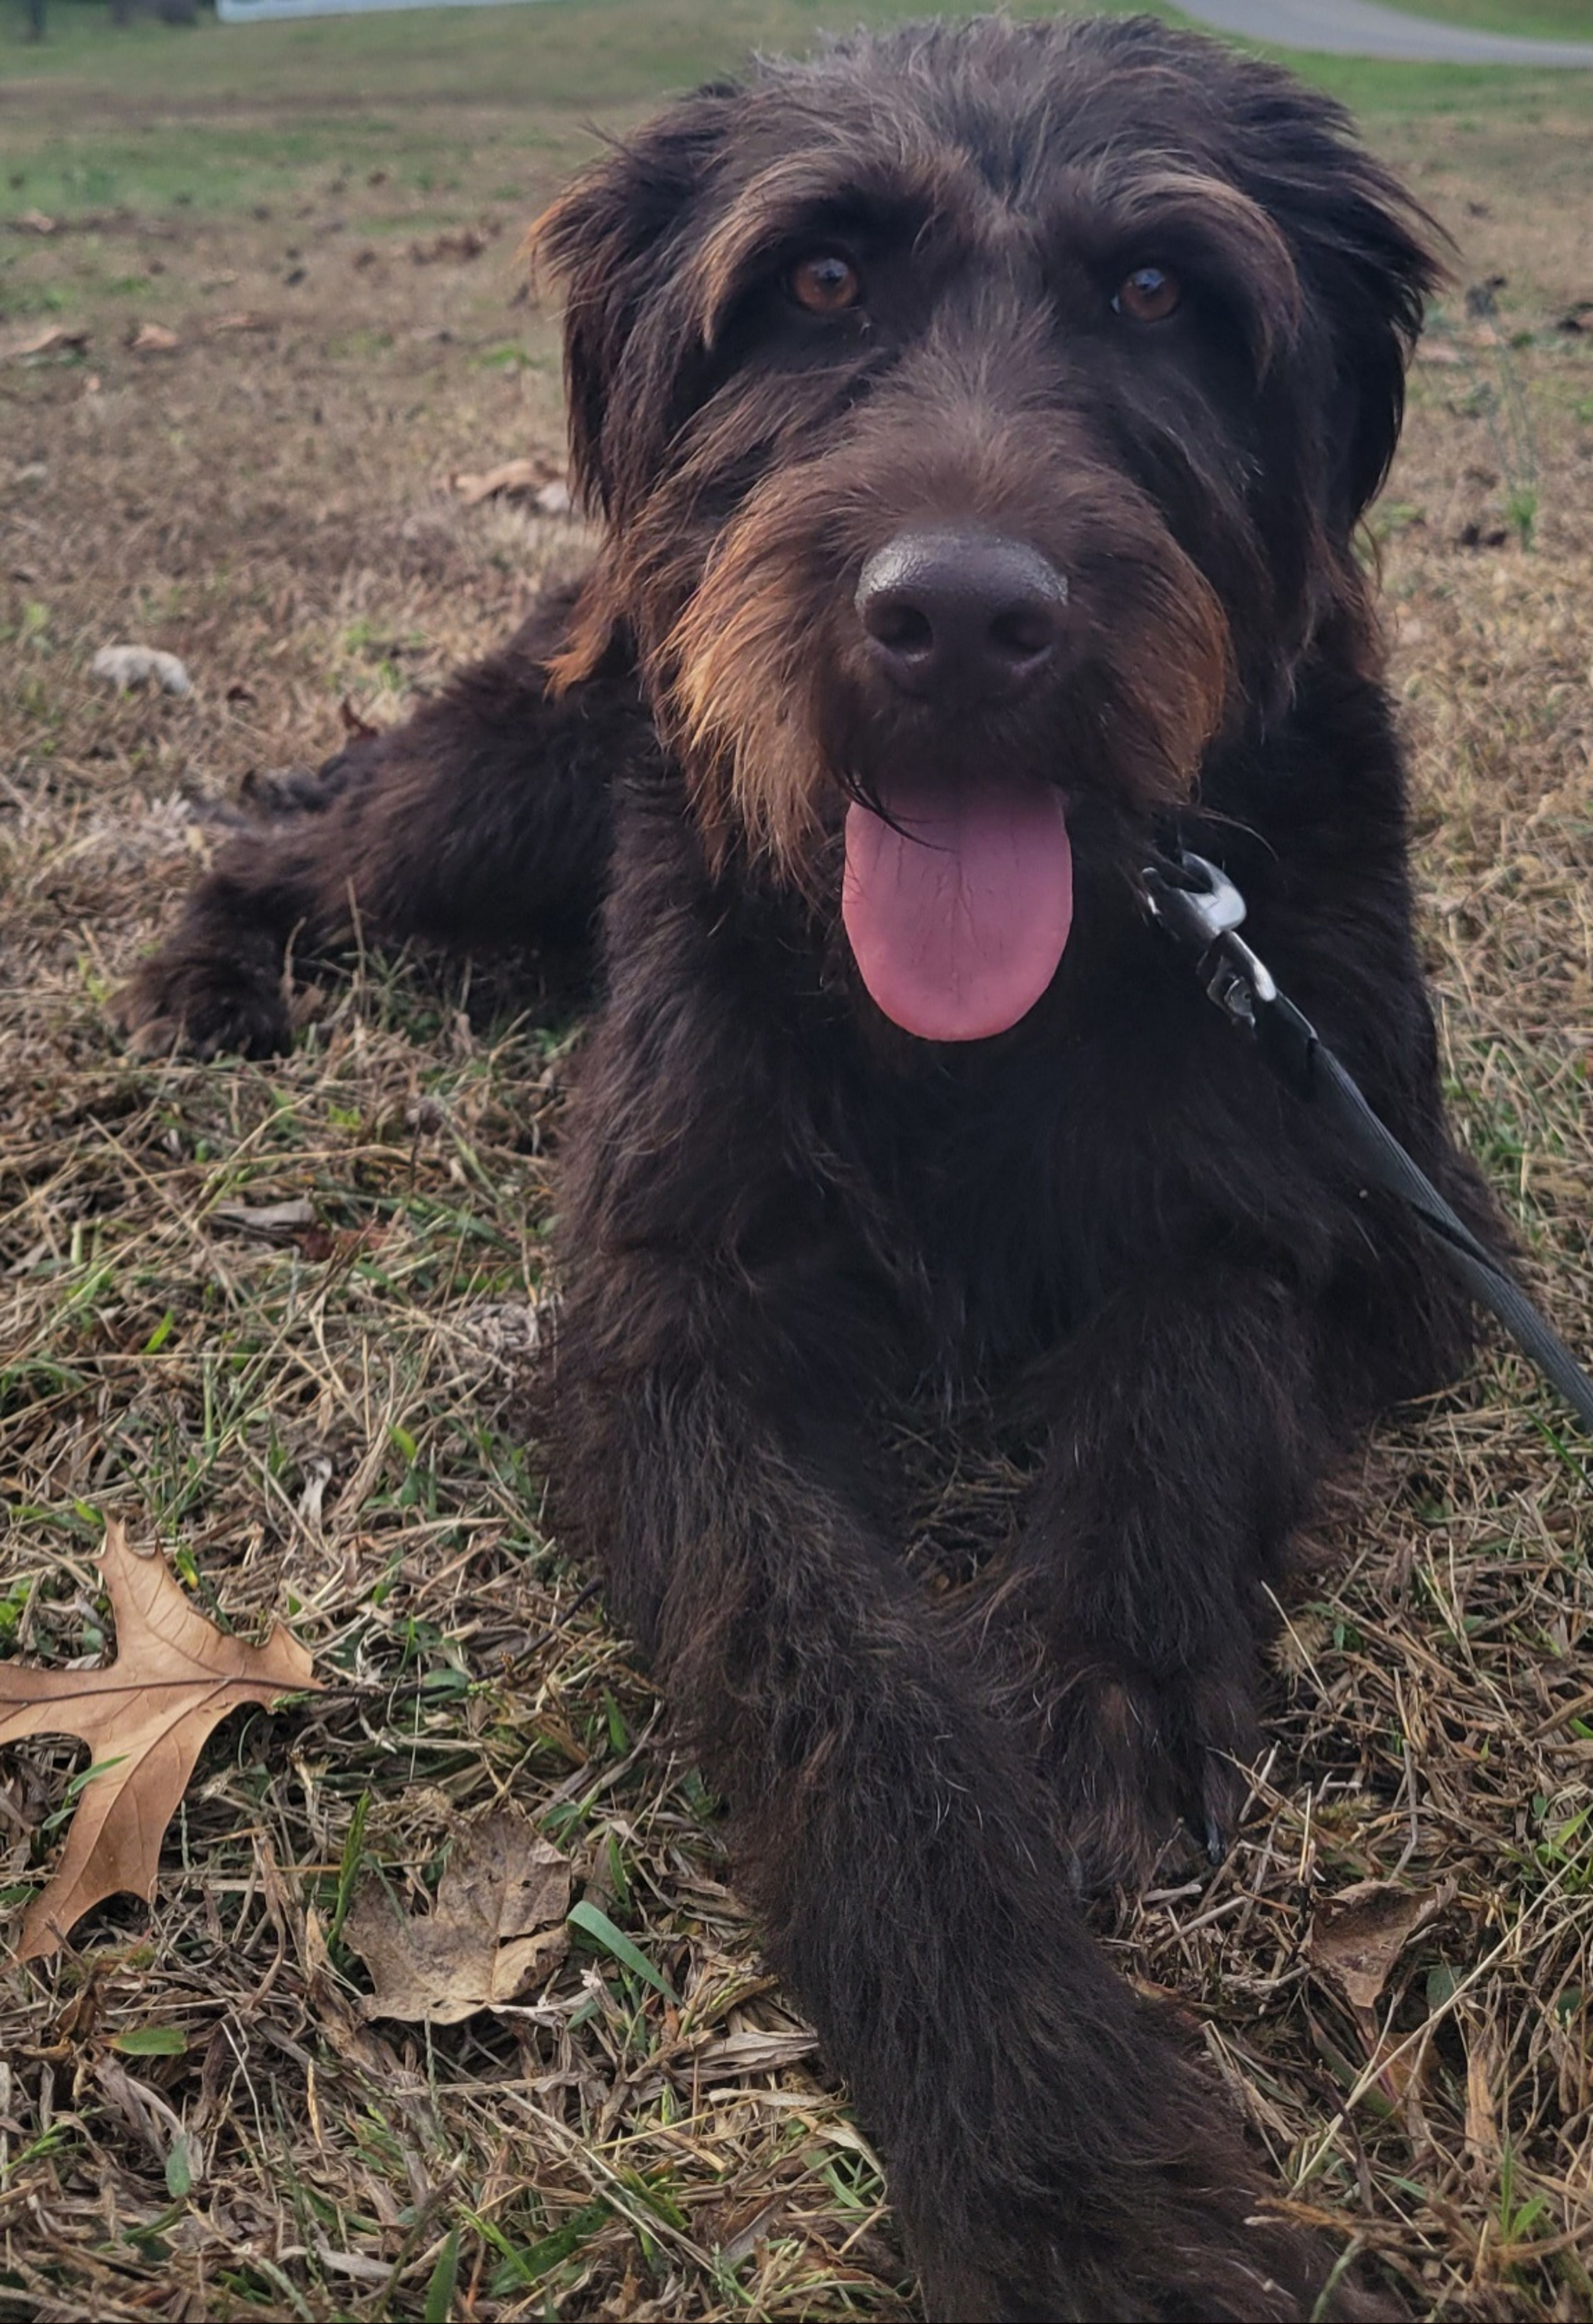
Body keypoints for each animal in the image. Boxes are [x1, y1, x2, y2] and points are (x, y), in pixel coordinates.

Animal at [118, 18, 1498, 2324]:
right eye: (818, 285)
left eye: (1161, 295)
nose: (958, 619)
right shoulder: (673, 1325)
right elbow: (830, 1671)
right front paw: (1056, 2162)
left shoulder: (1380, 1197)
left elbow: (1196, 1338)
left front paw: (1110, 1654)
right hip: (513, 772)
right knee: (303, 842)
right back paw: (215, 968)